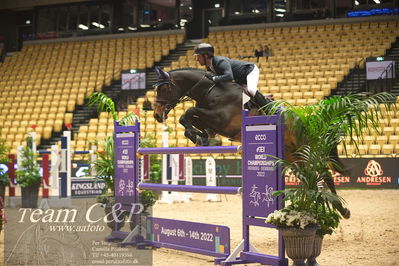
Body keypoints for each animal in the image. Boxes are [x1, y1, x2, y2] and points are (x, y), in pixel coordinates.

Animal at [152, 67, 352, 218]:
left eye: (164, 89)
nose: (156, 115)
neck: (210, 91)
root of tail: (306, 119)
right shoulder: (211, 120)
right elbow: (188, 119)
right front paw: (200, 136)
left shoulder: (221, 119)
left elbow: (189, 112)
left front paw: (200, 137)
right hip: (293, 156)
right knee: (309, 176)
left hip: (306, 150)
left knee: (325, 173)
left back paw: (342, 210)